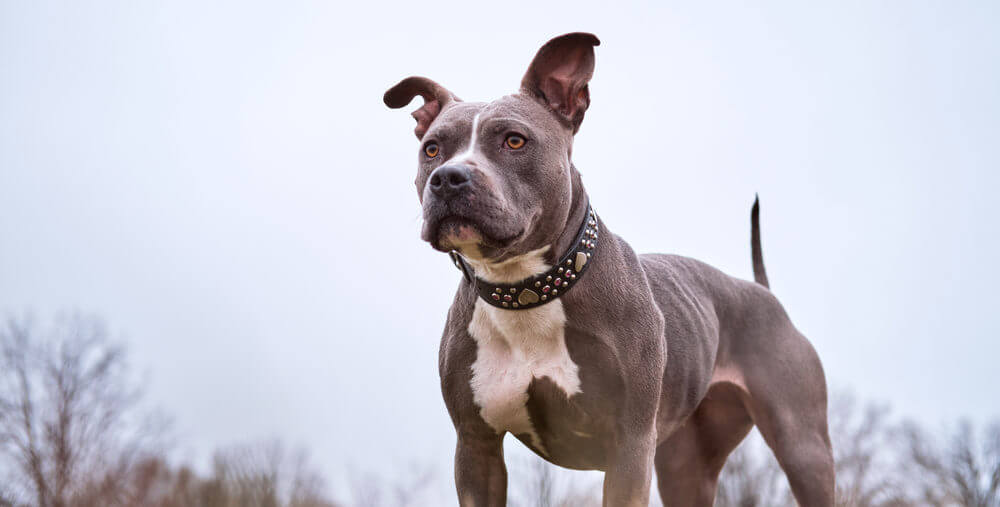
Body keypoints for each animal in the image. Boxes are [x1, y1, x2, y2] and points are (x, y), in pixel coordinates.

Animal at [382, 32, 836, 507]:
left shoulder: (629, 446)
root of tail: (762, 292)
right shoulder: (476, 447)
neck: (525, 290)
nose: (448, 177)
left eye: (514, 141)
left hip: (802, 446)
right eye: (432, 149)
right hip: (686, 463)